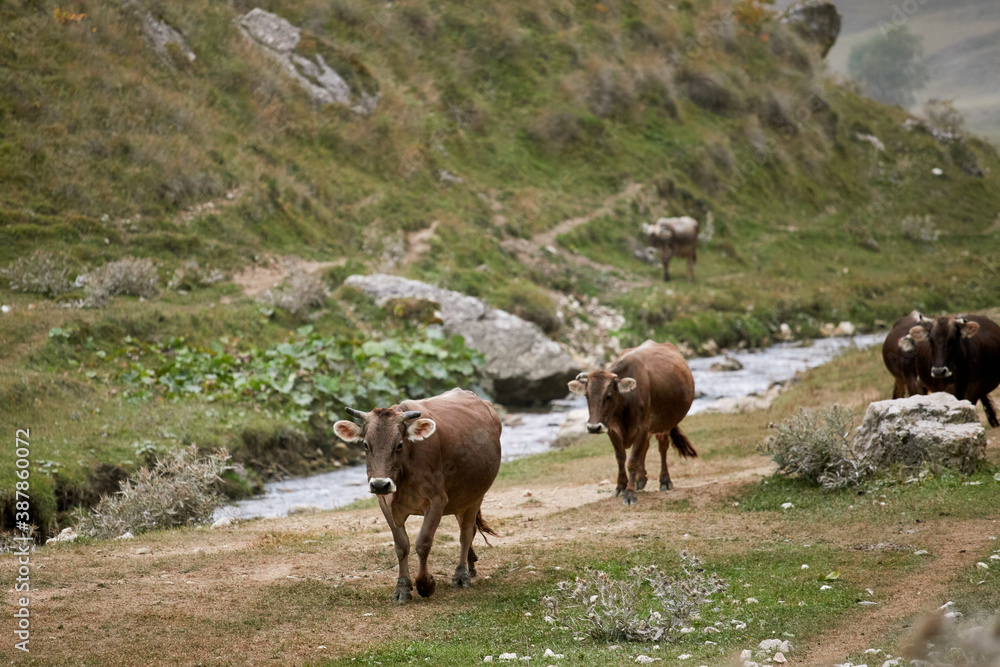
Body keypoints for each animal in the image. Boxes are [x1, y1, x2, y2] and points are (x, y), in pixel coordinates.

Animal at [333, 388, 502, 602]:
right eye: (365, 444)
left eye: (399, 444)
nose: (380, 484)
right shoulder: (385, 502)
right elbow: (401, 545)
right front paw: (403, 587)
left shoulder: (437, 500)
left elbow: (423, 542)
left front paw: (425, 584)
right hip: (460, 498)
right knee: (467, 529)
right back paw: (470, 564)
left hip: (476, 495)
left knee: (465, 533)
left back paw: (461, 574)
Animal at [567, 340, 697, 505]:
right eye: (586, 396)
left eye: (609, 396)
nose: (593, 427)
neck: (624, 403)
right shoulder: (612, 429)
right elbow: (620, 457)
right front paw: (621, 486)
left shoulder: (642, 427)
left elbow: (632, 460)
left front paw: (629, 493)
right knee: (645, 447)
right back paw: (640, 479)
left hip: (664, 424)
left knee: (662, 448)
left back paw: (664, 480)